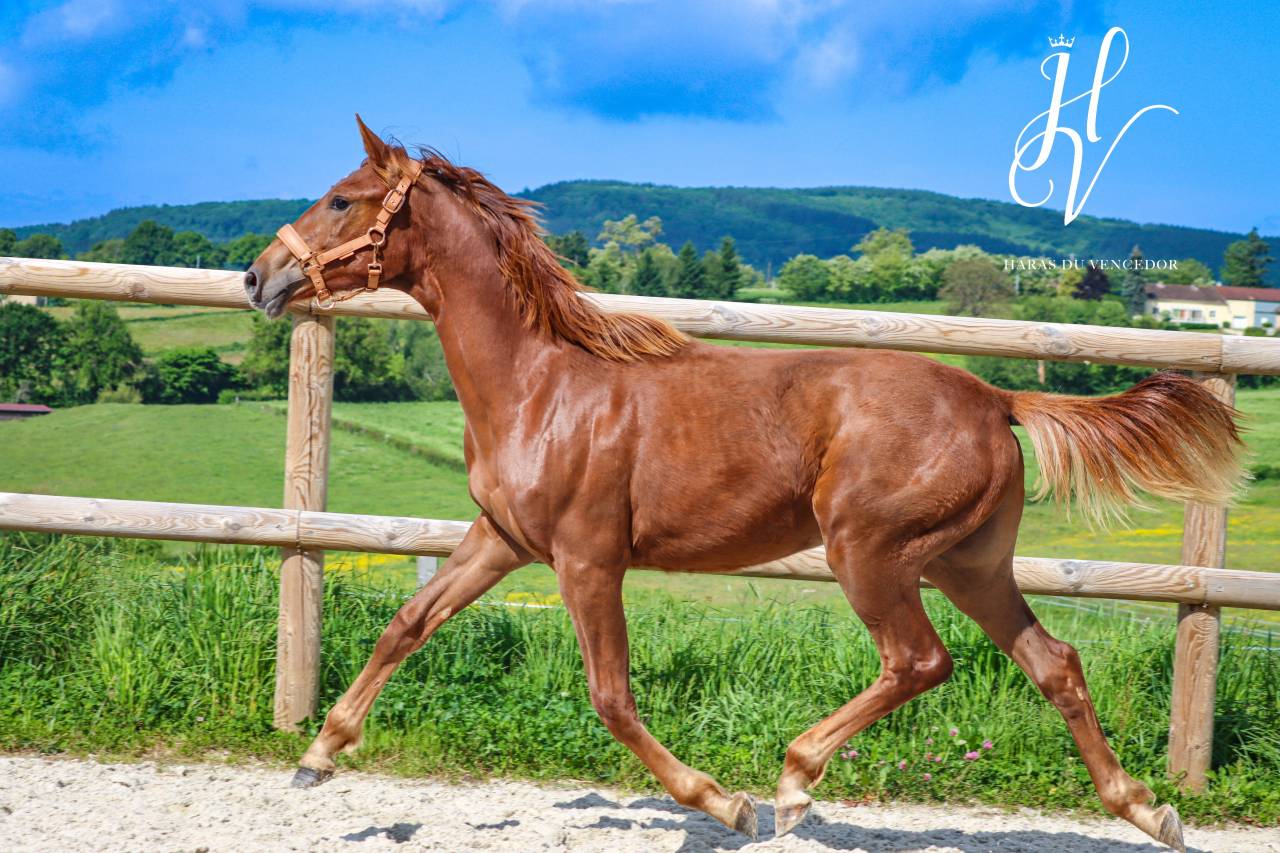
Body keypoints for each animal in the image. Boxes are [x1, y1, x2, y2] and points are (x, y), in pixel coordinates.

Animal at [245, 116, 1242, 850]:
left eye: (342, 199)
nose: (259, 275)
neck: (541, 383)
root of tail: (995, 396)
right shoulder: (503, 539)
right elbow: (408, 623)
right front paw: (319, 752)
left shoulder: (587, 559)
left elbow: (611, 696)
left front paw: (726, 801)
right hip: (969, 563)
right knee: (1054, 662)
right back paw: (1149, 808)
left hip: (870, 551)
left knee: (921, 660)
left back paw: (795, 782)